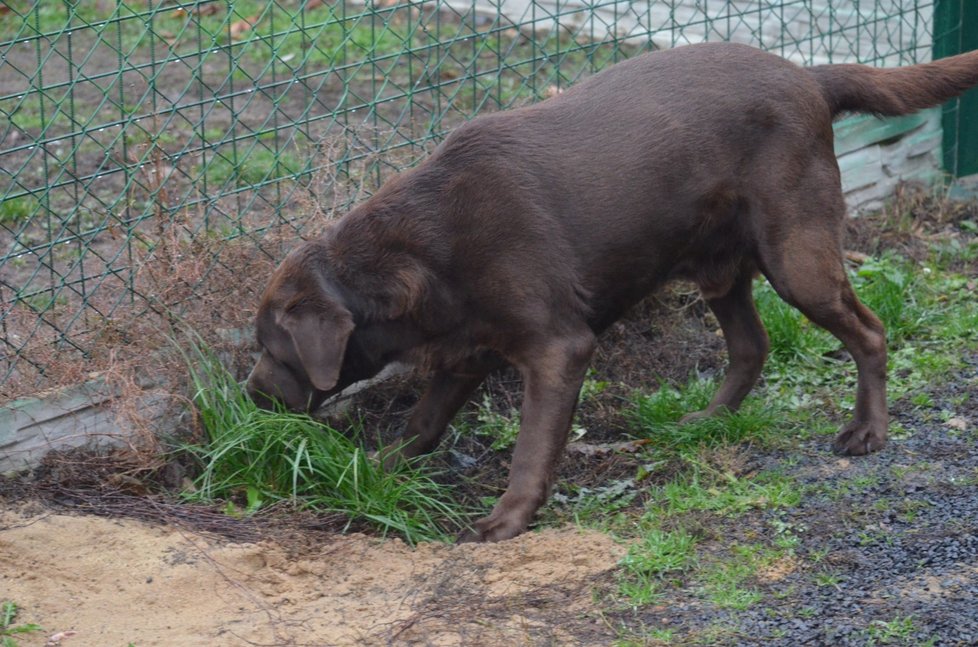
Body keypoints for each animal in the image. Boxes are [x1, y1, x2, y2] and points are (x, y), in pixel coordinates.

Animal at [248, 41, 976, 540]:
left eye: (273, 348)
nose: (249, 395)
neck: (423, 252)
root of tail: (808, 74)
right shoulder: (467, 347)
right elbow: (423, 421)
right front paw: (378, 468)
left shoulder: (558, 348)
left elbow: (530, 449)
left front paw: (505, 519)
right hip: (720, 265)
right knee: (752, 345)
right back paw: (707, 420)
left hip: (798, 256)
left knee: (869, 331)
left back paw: (868, 431)